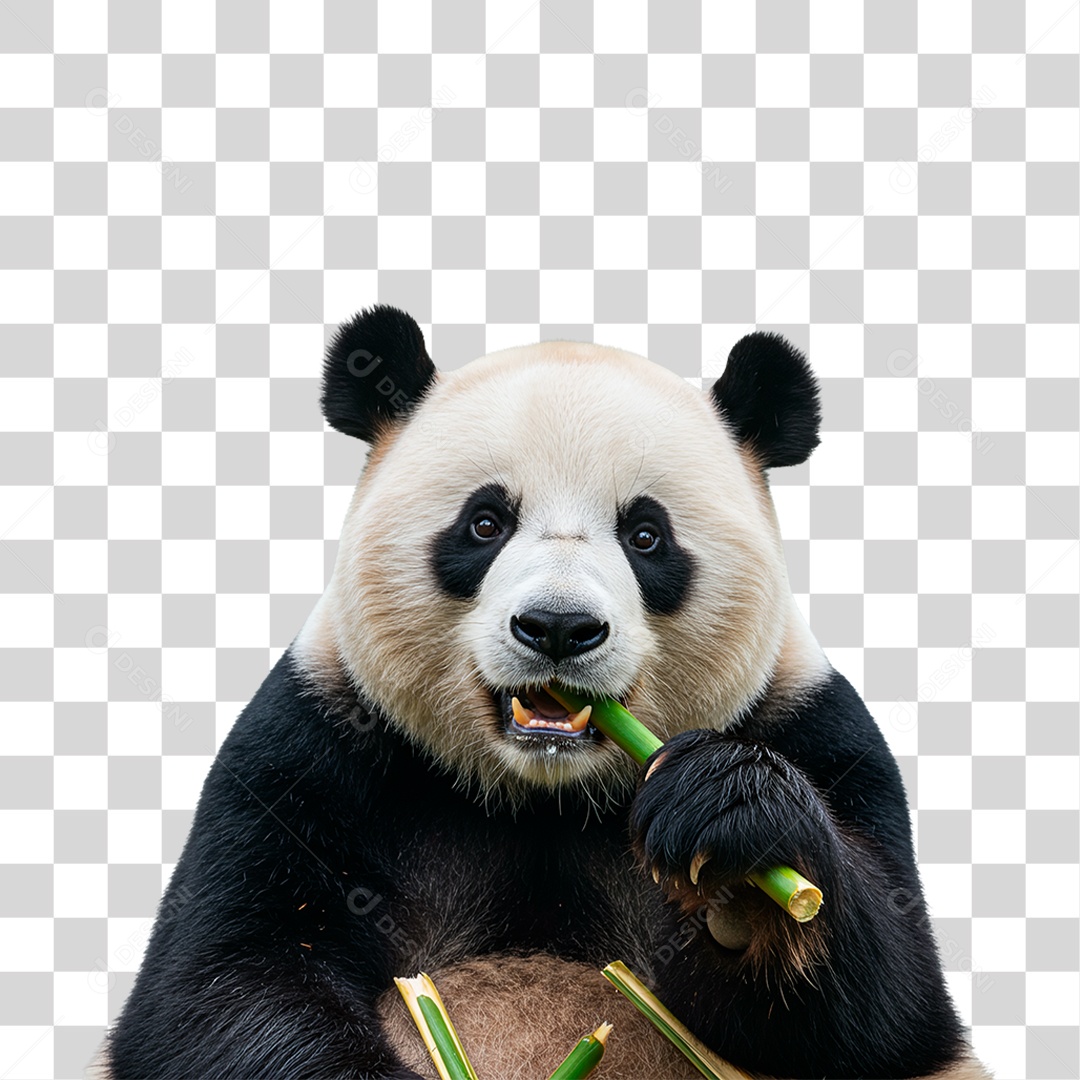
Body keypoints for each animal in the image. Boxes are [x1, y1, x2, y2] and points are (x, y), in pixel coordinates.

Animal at [101, 305, 990, 1079]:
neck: (543, 795)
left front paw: (738, 846)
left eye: (646, 535)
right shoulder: (310, 747)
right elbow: (223, 987)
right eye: (485, 522)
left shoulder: (813, 727)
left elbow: (888, 1013)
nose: (559, 627)